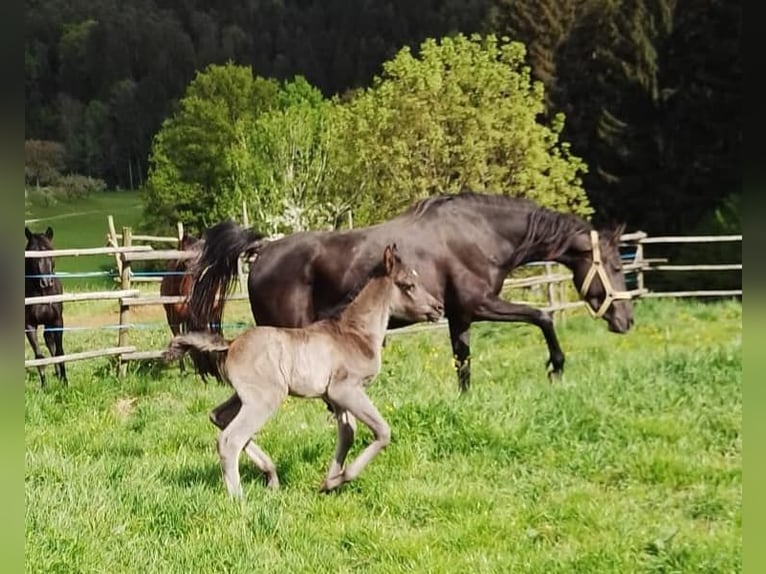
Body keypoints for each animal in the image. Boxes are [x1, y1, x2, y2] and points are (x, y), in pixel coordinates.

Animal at [24, 225, 67, 388]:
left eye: (50, 250)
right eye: (31, 253)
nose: (46, 282)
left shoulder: (57, 321)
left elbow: (60, 352)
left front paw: (65, 382)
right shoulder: (29, 326)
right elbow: (39, 356)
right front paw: (44, 386)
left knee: (51, 343)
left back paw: (59, 375)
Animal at [168, 245, 444, 498]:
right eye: (408, 285)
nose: (438, 308)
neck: (355, 334)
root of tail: (231, 343)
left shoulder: (334, 397)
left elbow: (347, 434)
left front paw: (329, 483)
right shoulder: (346, 390)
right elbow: (382, 431)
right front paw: (342, 478)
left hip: (246, 396)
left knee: (219, 417)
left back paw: (271, 475)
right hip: (265, 399)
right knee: (230, 439)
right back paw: (239, 499)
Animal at [188, 192, 636, 392]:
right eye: (616, 267)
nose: (627, 320)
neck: (480, 234)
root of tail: (263, 250)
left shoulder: (459, 315)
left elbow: (462, 361)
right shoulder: (481, 304)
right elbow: (542, 316)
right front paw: (556, 367)